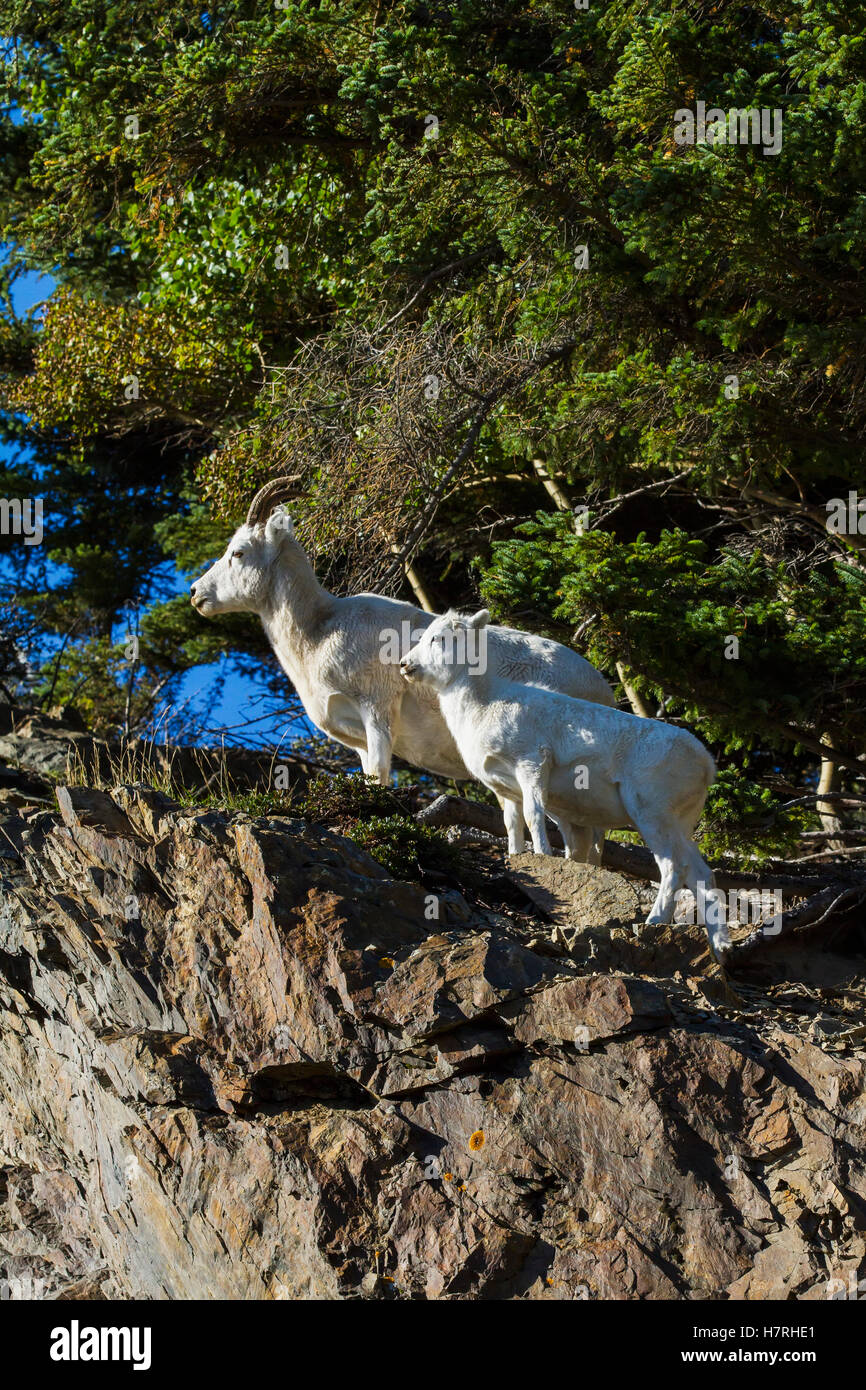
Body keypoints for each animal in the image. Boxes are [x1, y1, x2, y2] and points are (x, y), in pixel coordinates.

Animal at [190, 478, 617, 856]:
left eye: (238, 552)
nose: (195, 593)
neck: (320, 631)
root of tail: (605, 694)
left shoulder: (377, 712)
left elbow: (380, 776)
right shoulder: (359, 740)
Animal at [400, 608, 729, 958]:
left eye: (439, 638)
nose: (406, 664)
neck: (483, 705)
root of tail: (706, 765)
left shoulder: (532, 762)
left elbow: (534, 817)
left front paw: (543, 858)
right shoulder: (508, 791)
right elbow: (513, 827)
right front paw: (518, 861)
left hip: (651, 812)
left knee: (673, 868)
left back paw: (654, 921)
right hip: (681, 823)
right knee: (702, 875)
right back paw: (721, 948)